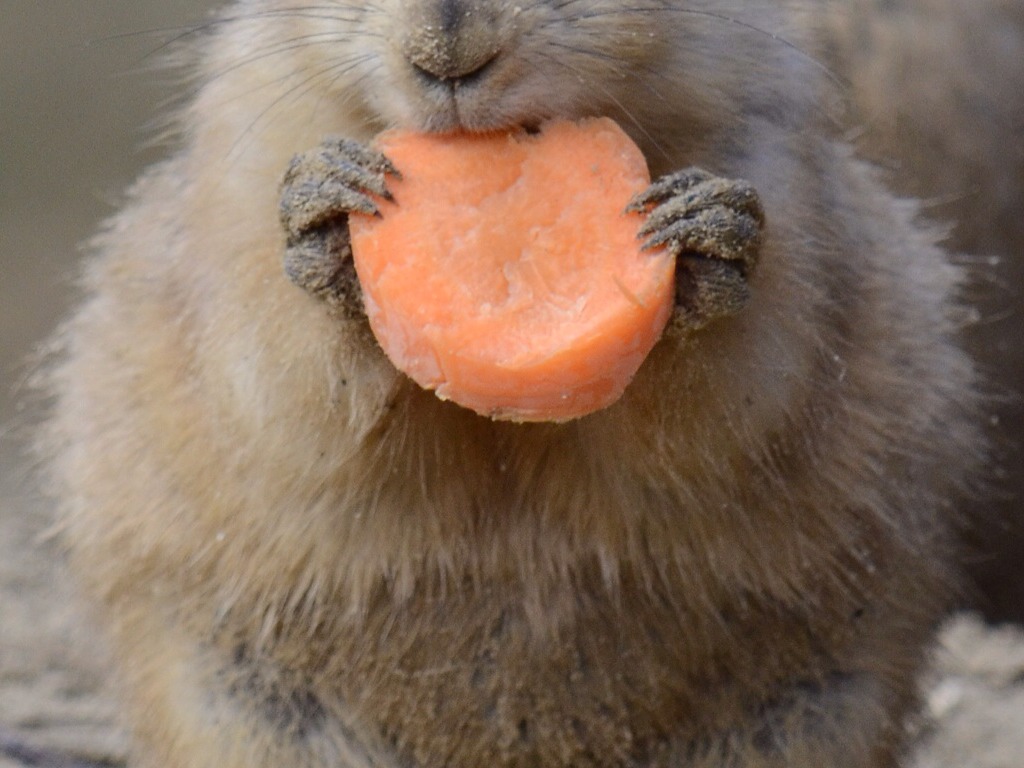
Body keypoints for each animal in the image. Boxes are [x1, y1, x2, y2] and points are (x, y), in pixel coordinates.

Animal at [41, 1, 1003, 766]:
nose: (446, 56)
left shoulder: (785, 176)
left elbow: (745, 397)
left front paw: (705, 233)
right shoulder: (234, 186)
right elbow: (272, 379)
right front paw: (327, 210)